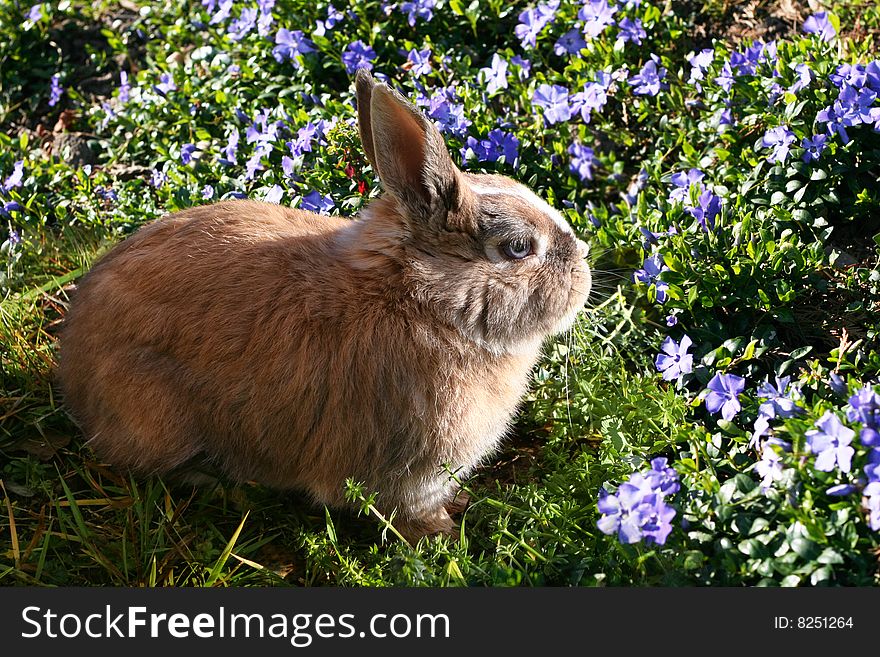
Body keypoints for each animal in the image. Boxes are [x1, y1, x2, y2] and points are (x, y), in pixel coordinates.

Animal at [55, 70, 592, 544]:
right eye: (519, 248)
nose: (584, 267)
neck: (422, 301)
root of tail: (73, 376)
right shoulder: (410, 470)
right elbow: (409, 509)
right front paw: (442, 534)